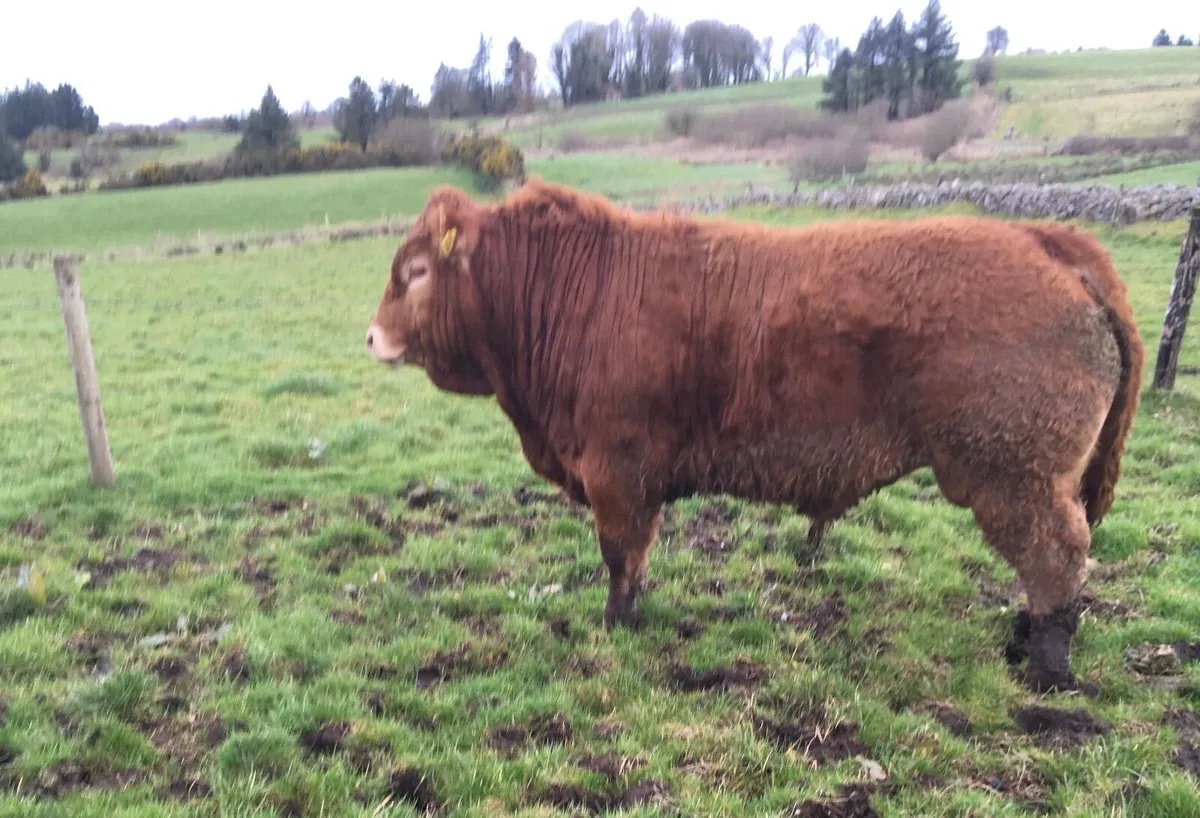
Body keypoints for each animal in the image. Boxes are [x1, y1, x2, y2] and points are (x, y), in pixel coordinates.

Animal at [365, 179, 1144, 694]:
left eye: (415, 272)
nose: (371, 336)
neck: (575, 292)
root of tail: (1046, 239)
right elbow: (635, 557)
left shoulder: (616, 471)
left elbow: (619, 556)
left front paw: (617, 624)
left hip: (1014, 476)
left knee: (1055, 556)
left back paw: (1044, 665)